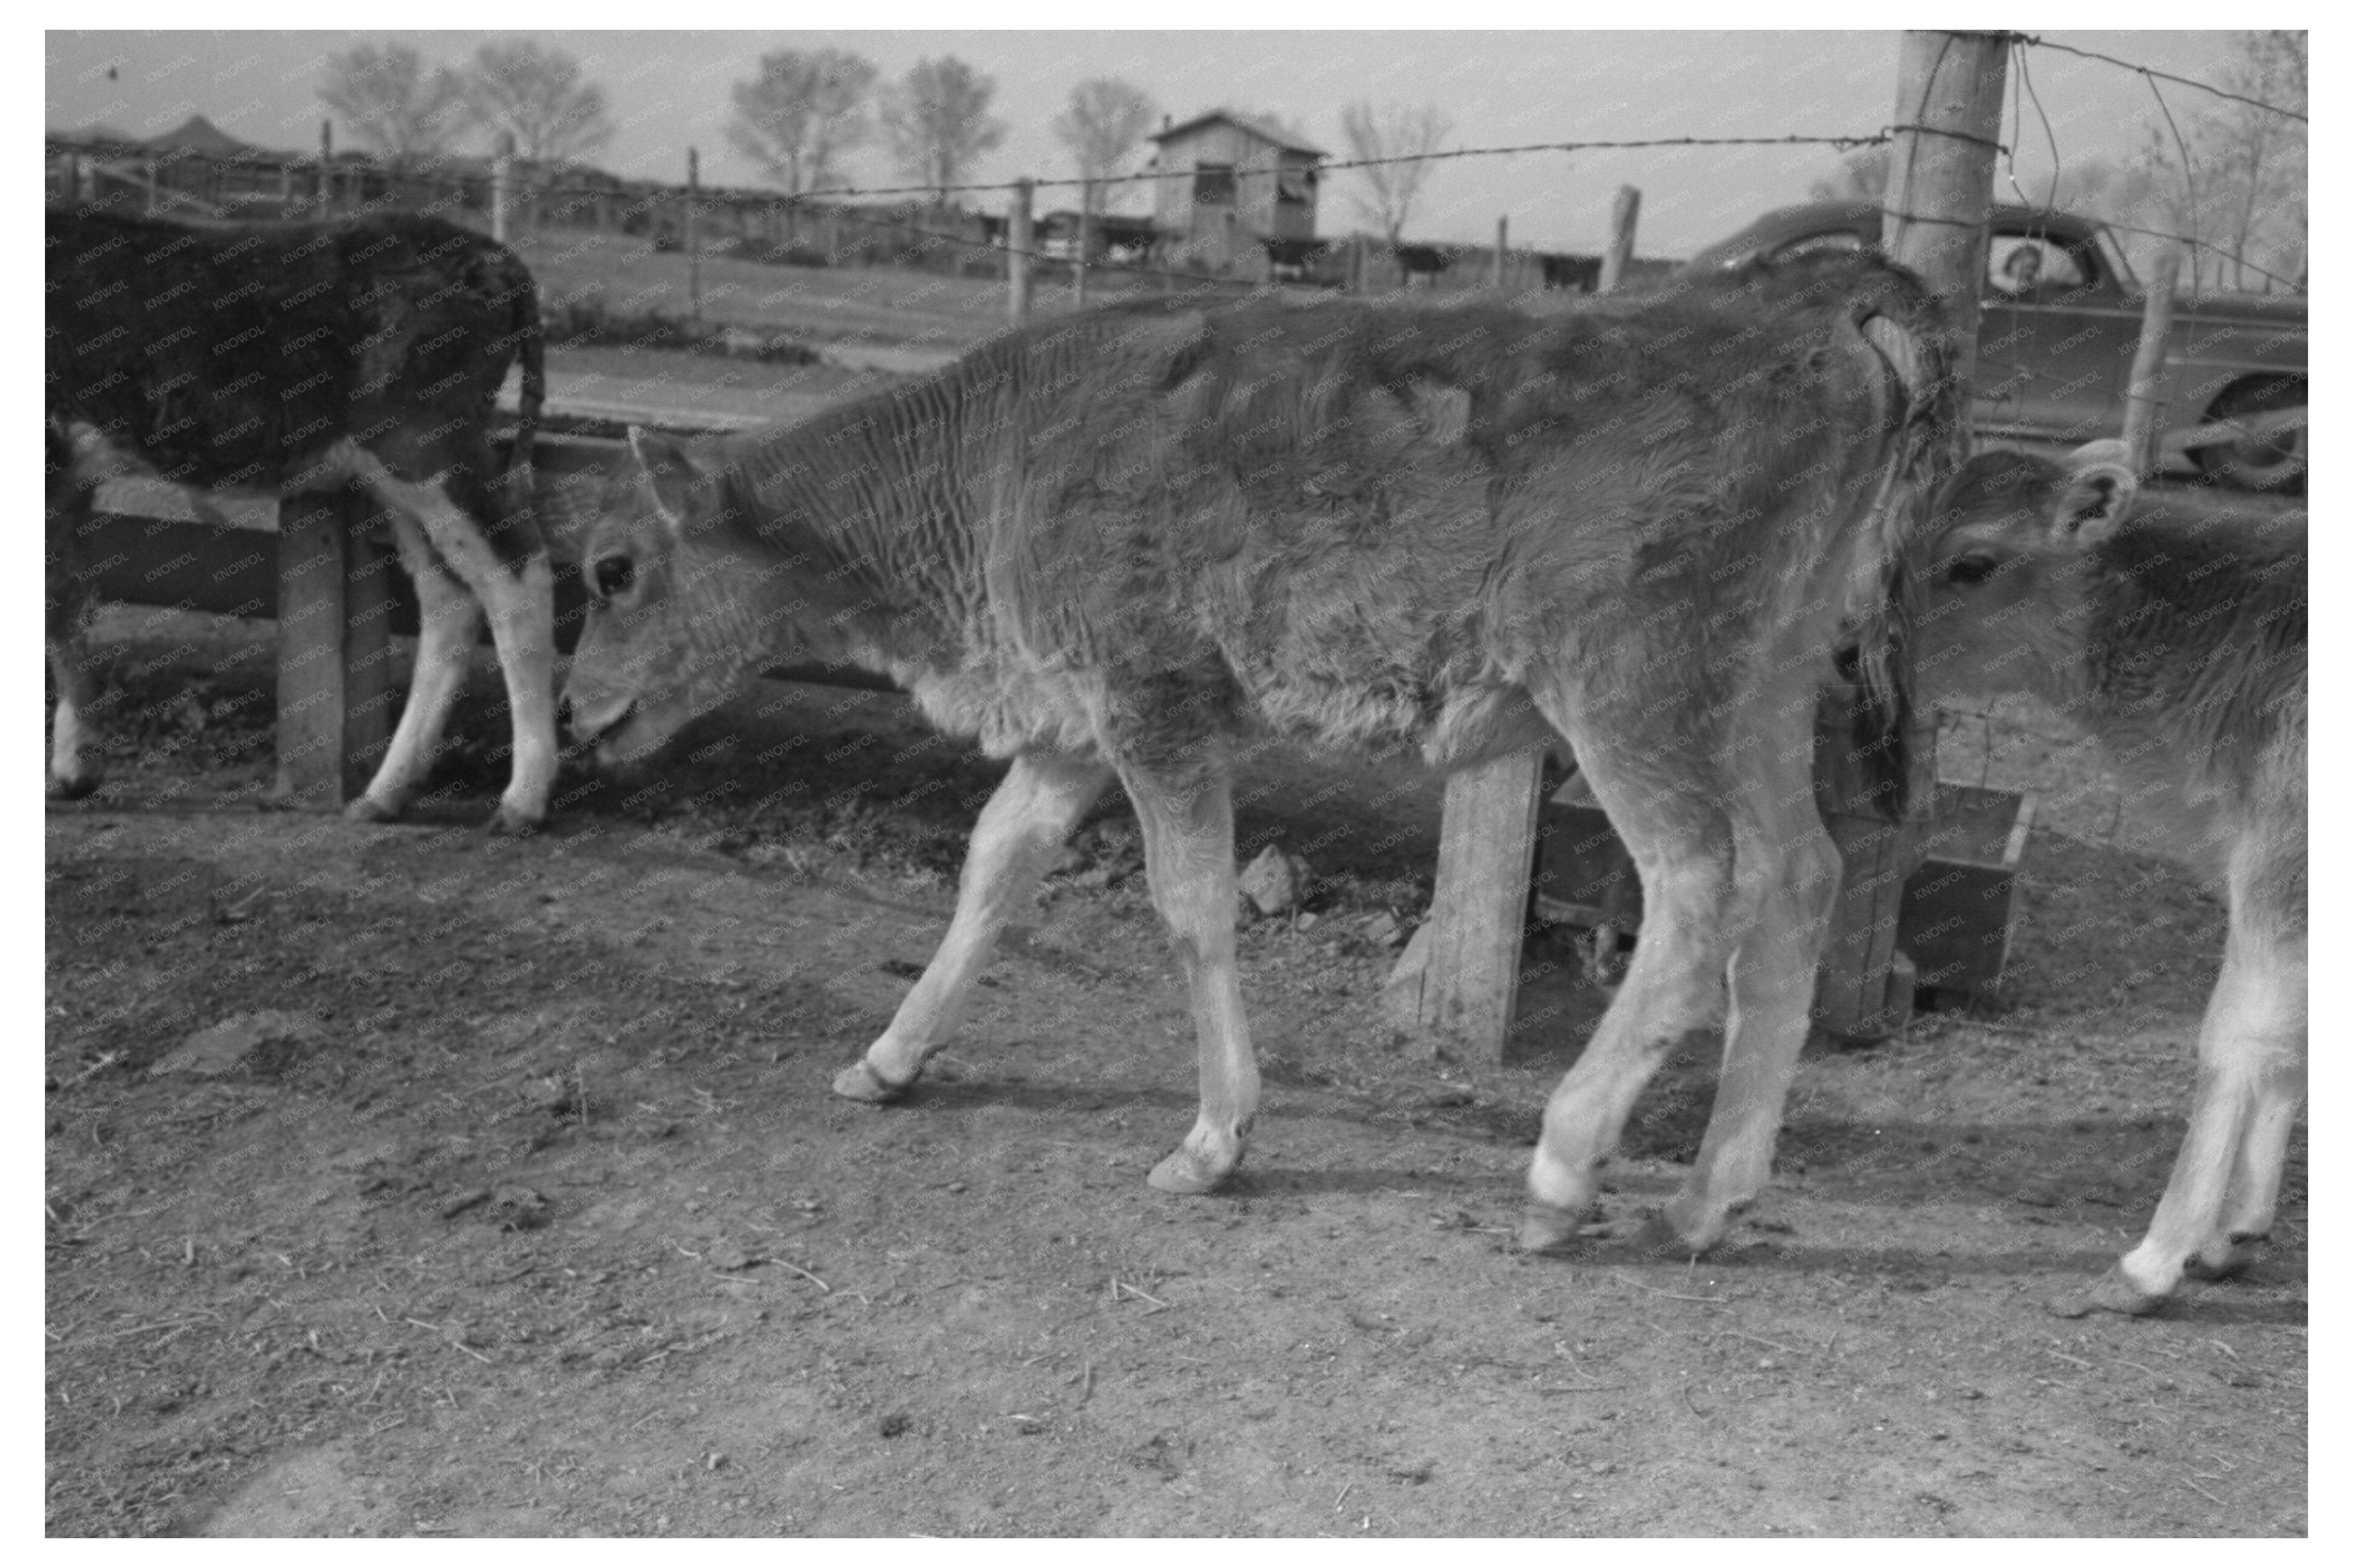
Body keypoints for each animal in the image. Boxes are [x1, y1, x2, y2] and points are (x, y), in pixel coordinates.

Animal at [43, 205, 557, 832]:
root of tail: (493, 253)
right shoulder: (70, 476)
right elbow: (66, 598)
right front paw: (74, 768)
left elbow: (54, 603)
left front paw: (70, 769)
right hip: (394, 470)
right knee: (449, 596)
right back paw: (383, 794)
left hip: (424, 444)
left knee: (514, 572)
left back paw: (522, 801)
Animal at [1911, 439, 2296, 1316]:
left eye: (1972, 561)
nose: (1853, 650)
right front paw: (2234, 1235)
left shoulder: (2279, 851)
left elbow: (2236, 1037)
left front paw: (2149, 1265)